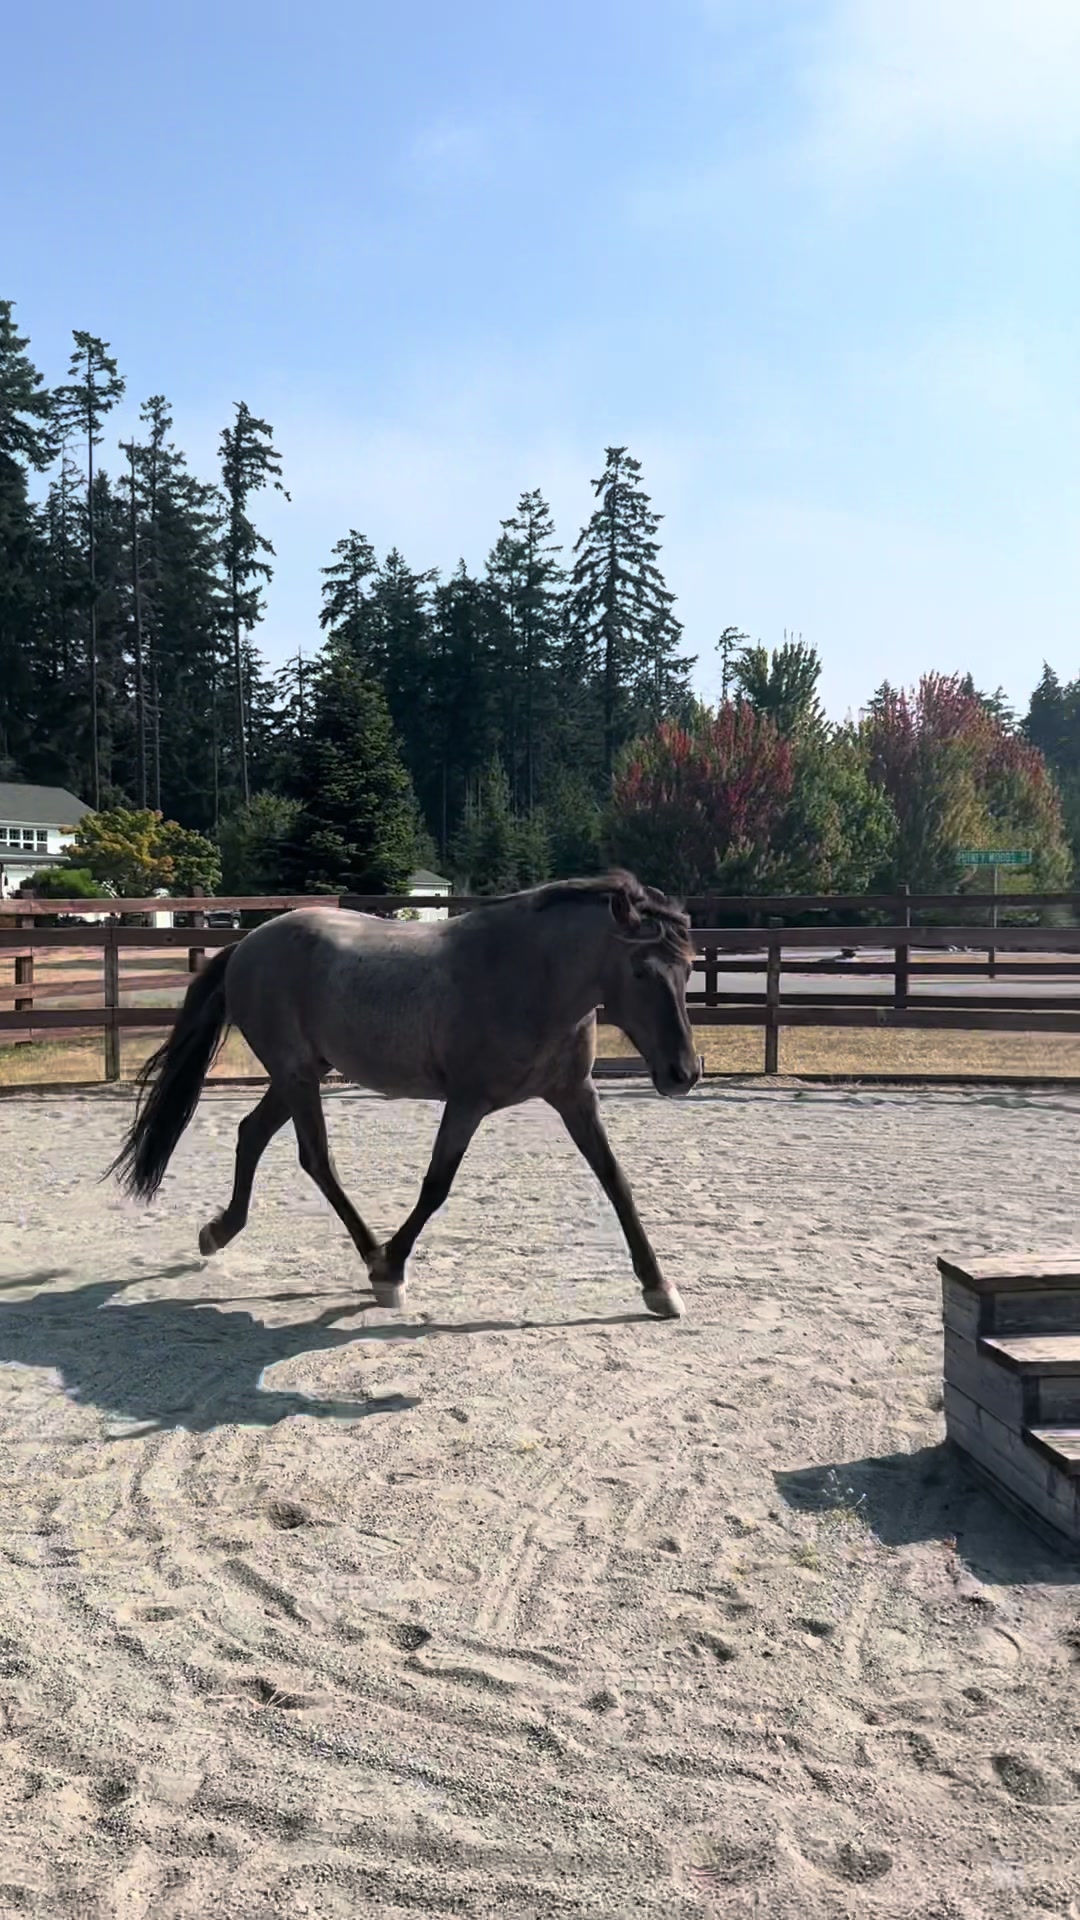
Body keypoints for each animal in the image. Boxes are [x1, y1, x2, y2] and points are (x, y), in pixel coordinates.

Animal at [108, 872, 702, 1319]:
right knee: (315, 1158)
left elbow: (616, 1181)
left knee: (251, 1134)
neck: (531, 978)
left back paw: (218, 1232)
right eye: (640, 970)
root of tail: (247, 943)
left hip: (298, 1074)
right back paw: (371, 1255)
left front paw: (659, 1288)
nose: (684, 1072)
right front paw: (391, 1270)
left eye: (689, 967)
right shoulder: (467, 1103)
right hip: (297, 1075)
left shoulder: (575, 1096)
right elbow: (436, 1186)